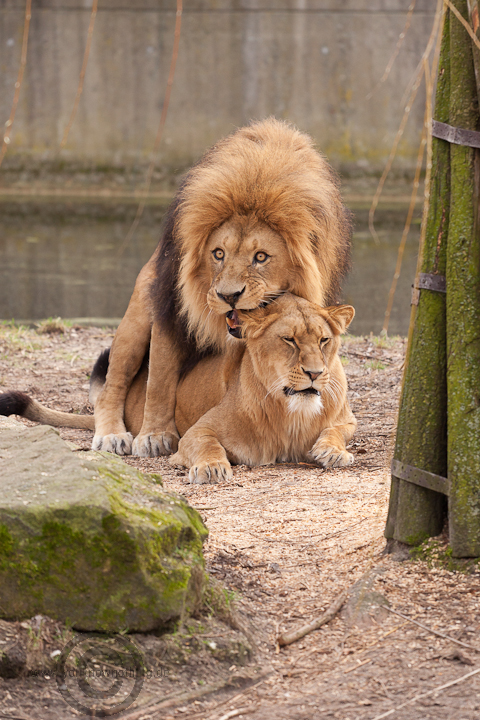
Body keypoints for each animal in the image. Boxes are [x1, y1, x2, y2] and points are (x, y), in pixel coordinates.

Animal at [0, 292, 356, 484]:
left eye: (324, 341)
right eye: (289, 340)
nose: (315, 373)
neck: (289, 413)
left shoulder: (346, 418)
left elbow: (337, 431)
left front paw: (333, 451)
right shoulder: (197, 432)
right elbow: (207, 445)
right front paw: (211, 468)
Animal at [62, 118, 348, 456]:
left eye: (260, 257)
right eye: (218, 254)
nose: (228, 295)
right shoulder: (170, 307)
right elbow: (159, 378)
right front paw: (155, 435)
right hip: (135, 322)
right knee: (113, 383)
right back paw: (111, 434)